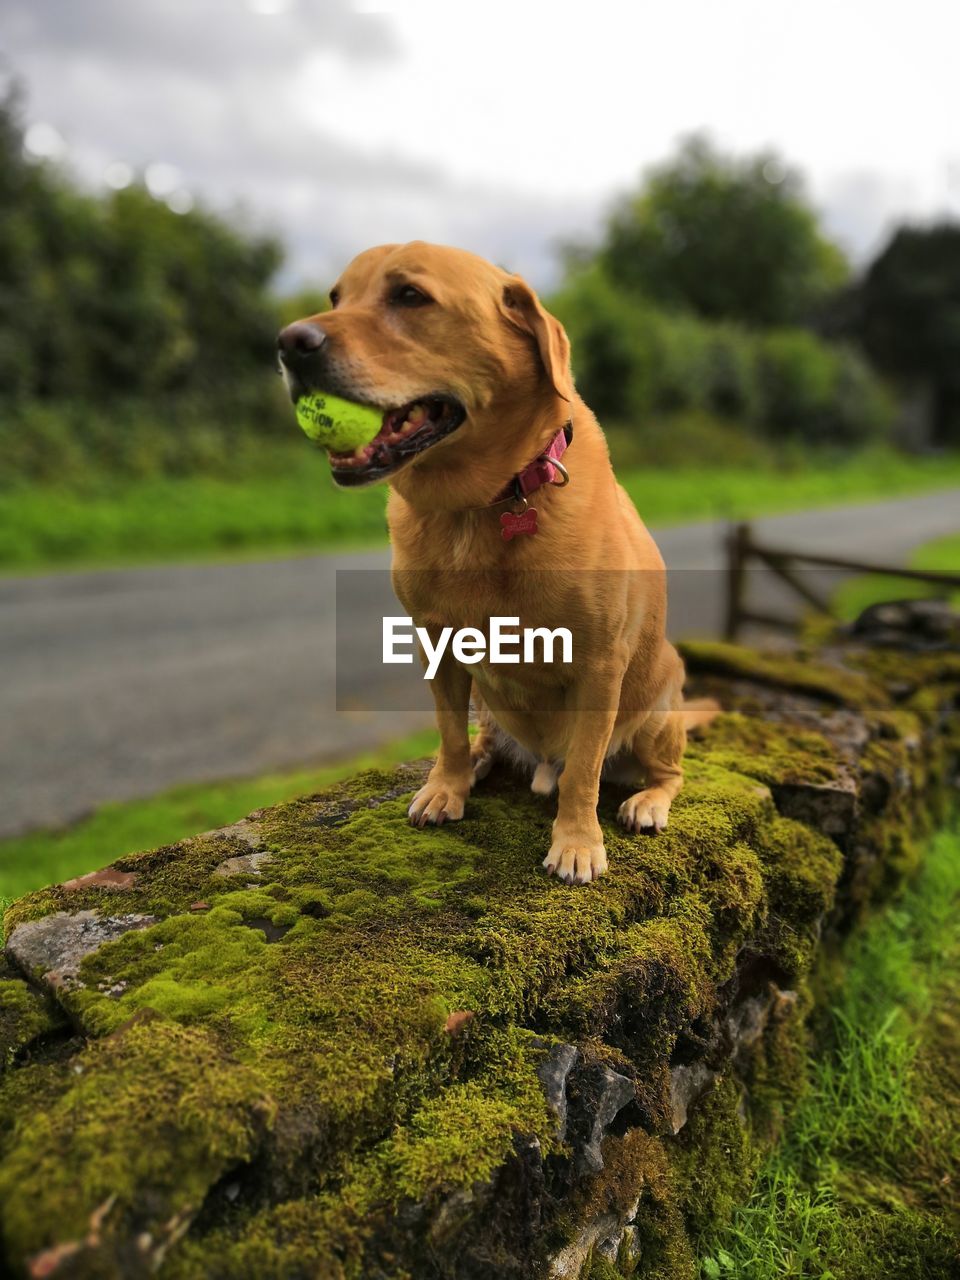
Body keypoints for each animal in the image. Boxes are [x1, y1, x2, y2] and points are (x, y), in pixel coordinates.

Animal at [281, 240, 696, 885]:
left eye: (410, 295)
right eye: (335, 297)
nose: (287, 342)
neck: (480, 506)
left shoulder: (600, 664)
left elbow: (584, 771)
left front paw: (577, 843)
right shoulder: (437, 644)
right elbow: (448, 733)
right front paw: (446, 788)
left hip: (657, 710)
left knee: (664, 773)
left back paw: (646, 802)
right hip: (492, 704)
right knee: (483, 738)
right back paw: (478, 762)